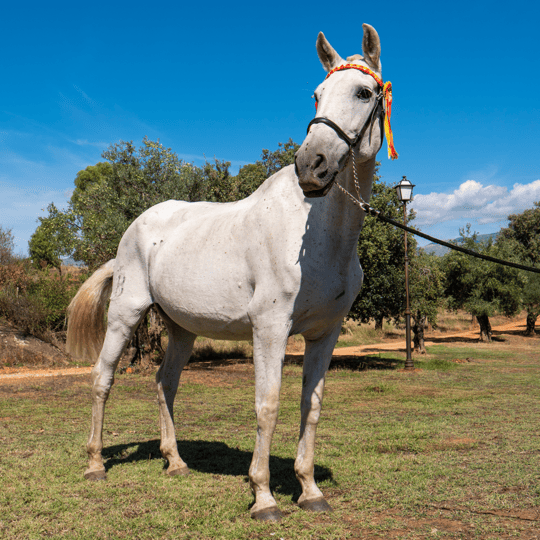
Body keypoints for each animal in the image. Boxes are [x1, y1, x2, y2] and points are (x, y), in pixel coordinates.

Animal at [66, 23, 388, 520]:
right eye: (316, 95)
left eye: (363, 91)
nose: (310, 166)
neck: (317, 234)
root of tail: (136, 227)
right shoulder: (270, 328)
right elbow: (267, 406)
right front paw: (264, 497)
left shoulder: (326, 333)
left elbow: (310, 406)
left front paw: (310, 490)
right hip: (125, 314)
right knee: (102, 379)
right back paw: (95, 465)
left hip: (180, 328)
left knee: (165, 384)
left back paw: (175, 462)